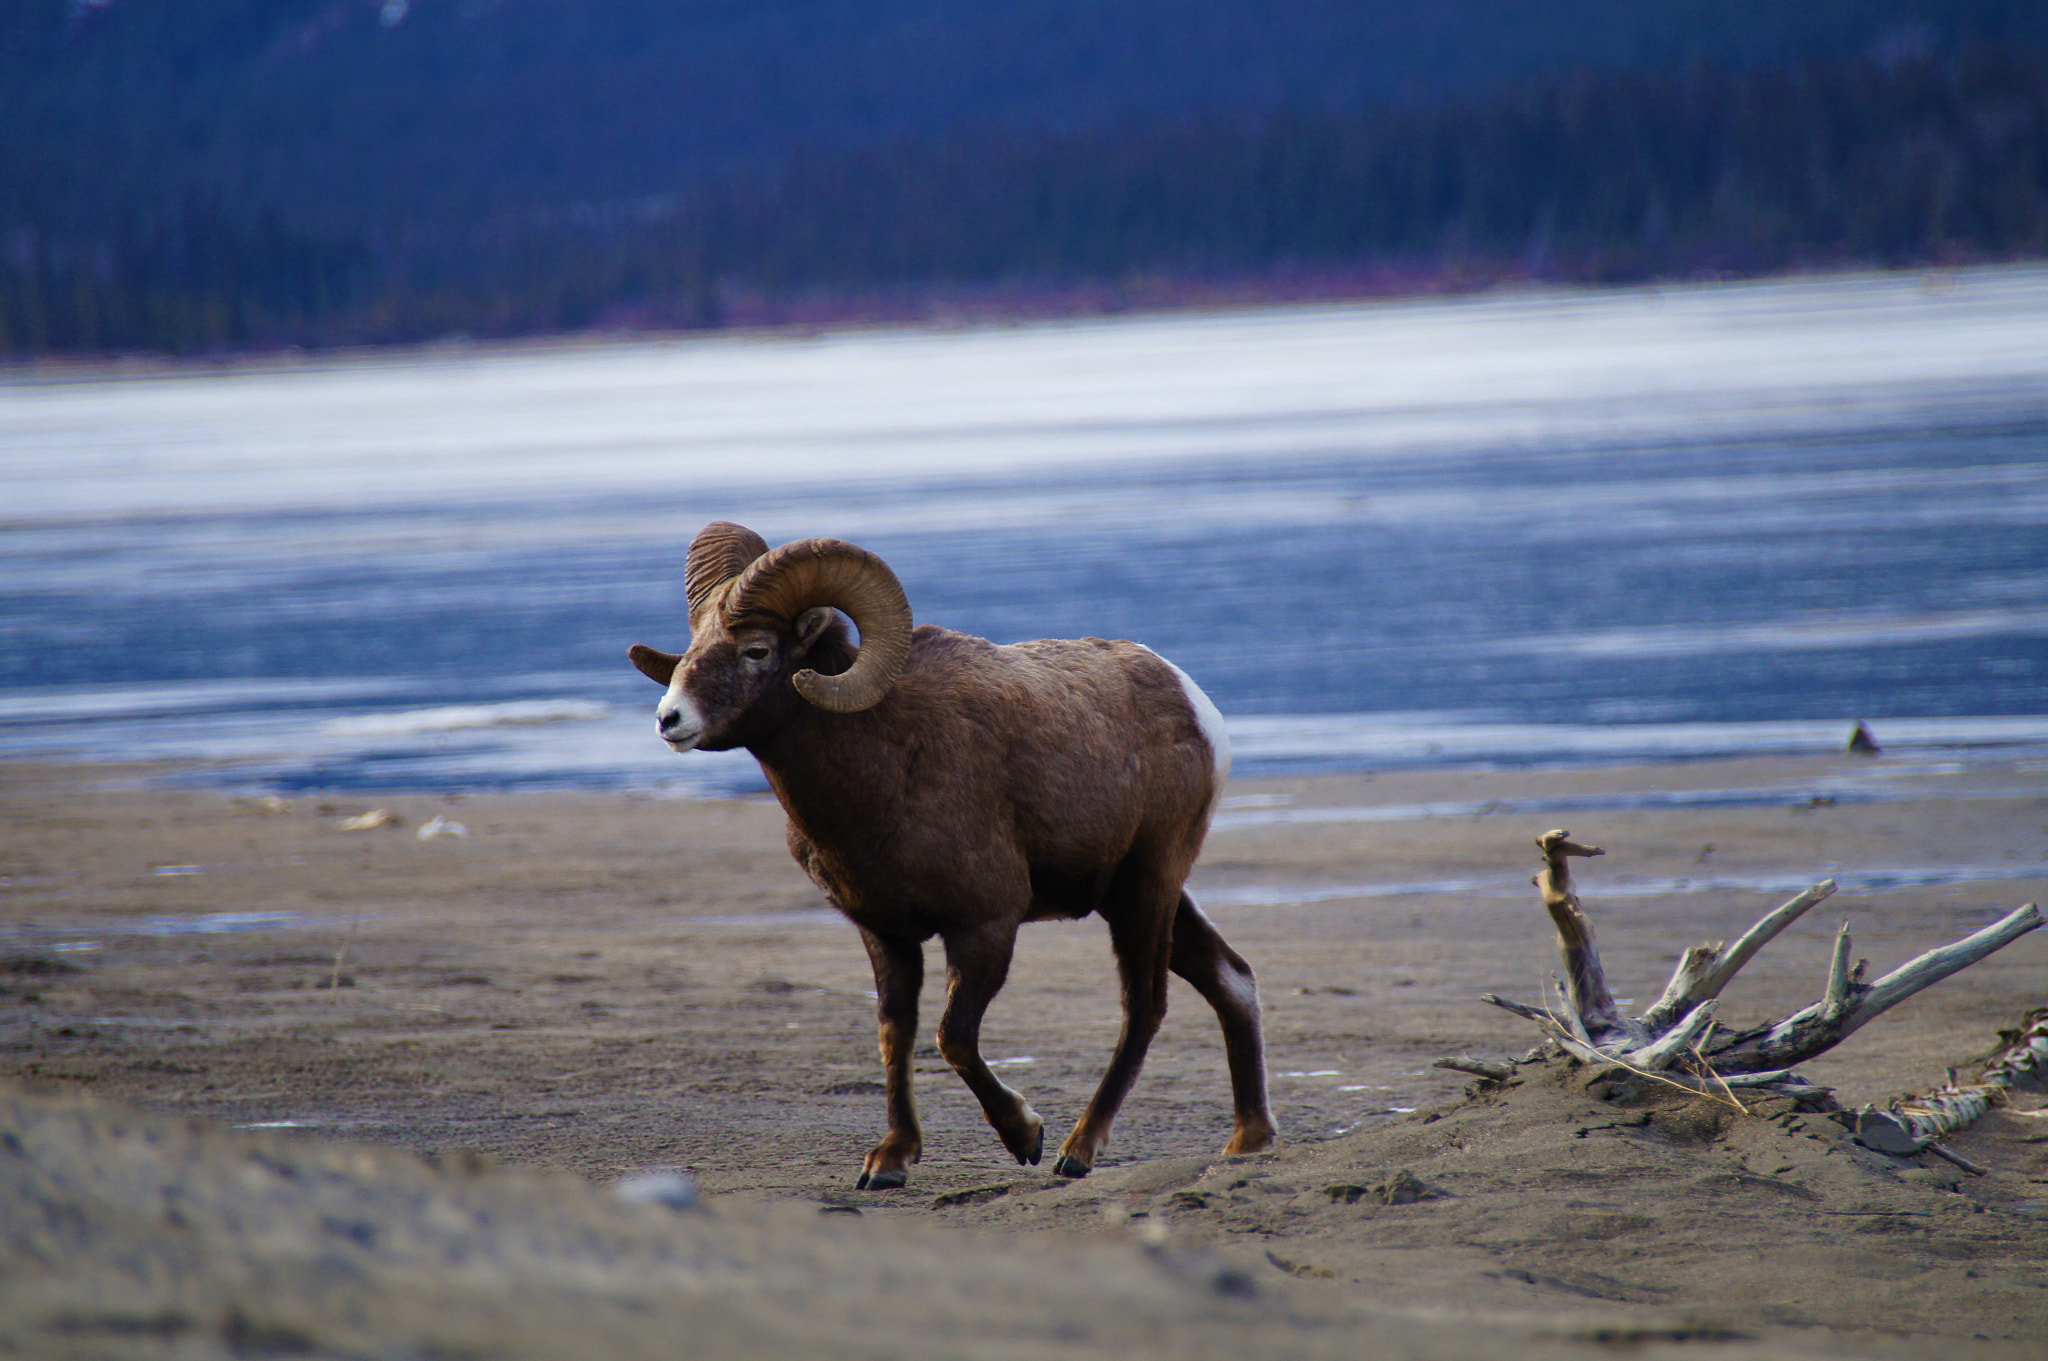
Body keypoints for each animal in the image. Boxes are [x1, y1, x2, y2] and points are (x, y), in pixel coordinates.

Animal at [629, 522, 1274, 1188]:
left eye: (756, 650)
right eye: (695, 642)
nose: (670, 720)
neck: (886, 767)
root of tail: (1194, 704)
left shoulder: (985, 926)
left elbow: (953, 1037)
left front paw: (1025, 1136)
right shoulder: (884, 933)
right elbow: (897, 1033)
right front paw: (889, 1161)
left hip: (1149, 885)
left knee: (1143, 1007)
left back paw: (1077, 1149)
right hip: (1129, 896)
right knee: (1231, 979)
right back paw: (1247, 1140)